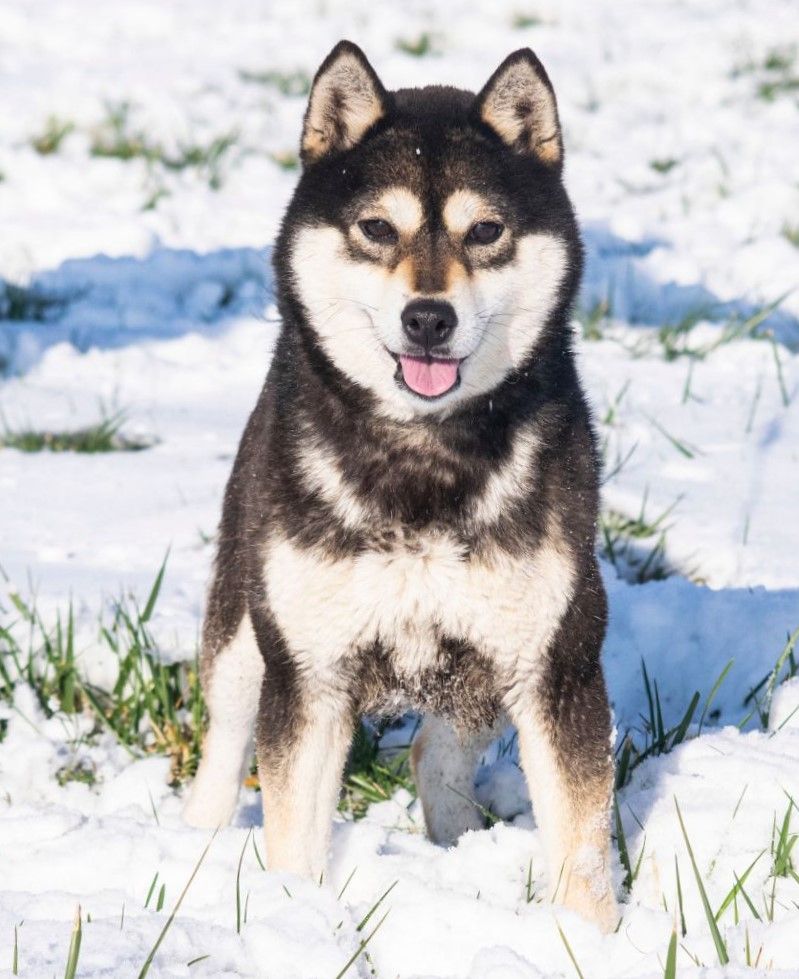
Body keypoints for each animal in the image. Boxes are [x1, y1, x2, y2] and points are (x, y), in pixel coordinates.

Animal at [186, 40, 620, 936]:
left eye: (484, 231)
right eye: (377, 228)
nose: (428, 317)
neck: (424, 461)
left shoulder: (554, 665)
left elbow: (582, 846)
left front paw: (590, 942)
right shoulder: (308, 676)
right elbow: (292, 831)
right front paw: (296, 923)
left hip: (485, 667)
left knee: (434, 750)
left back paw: (456, 846)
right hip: (245, 627)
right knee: (224, 739)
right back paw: (194, 844)